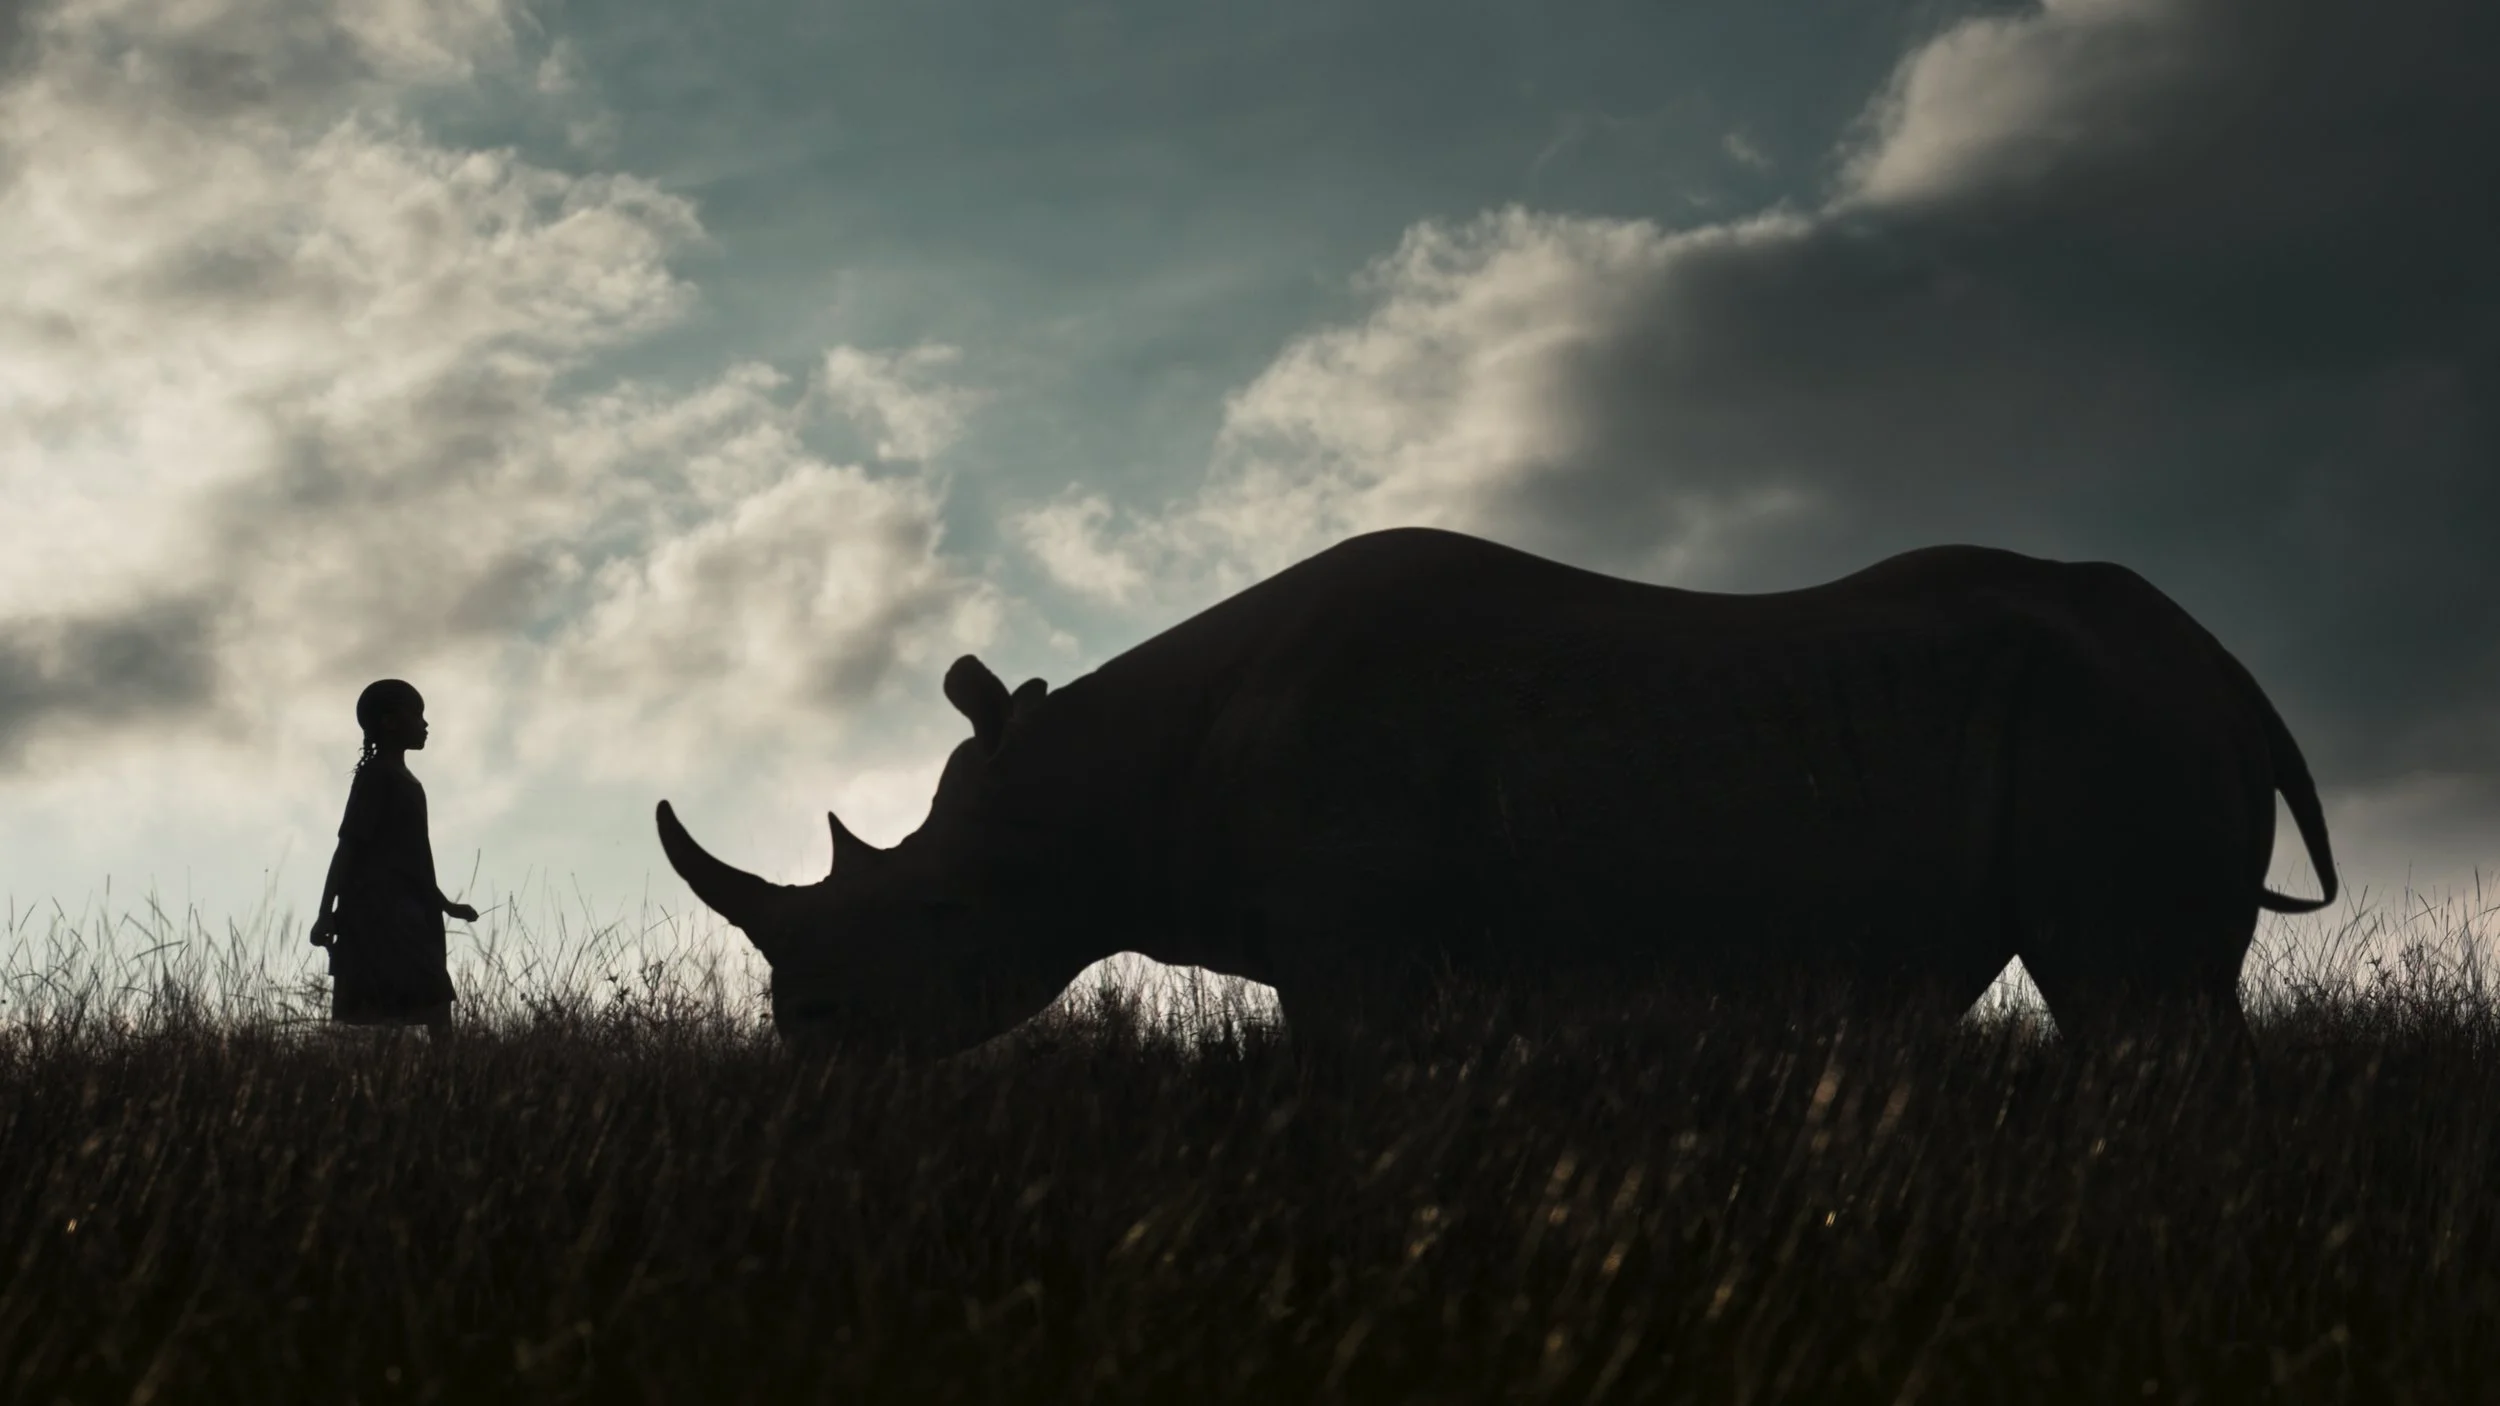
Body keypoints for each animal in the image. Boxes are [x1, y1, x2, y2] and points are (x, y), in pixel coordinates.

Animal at [657, 527, 2336, 1056]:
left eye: (936, 913)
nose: (802, 1033)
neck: (1092, 777)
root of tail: (2229, 663)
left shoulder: (1357, 947)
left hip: (2118, 718)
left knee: (2133, 1007)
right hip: (2111, 710)